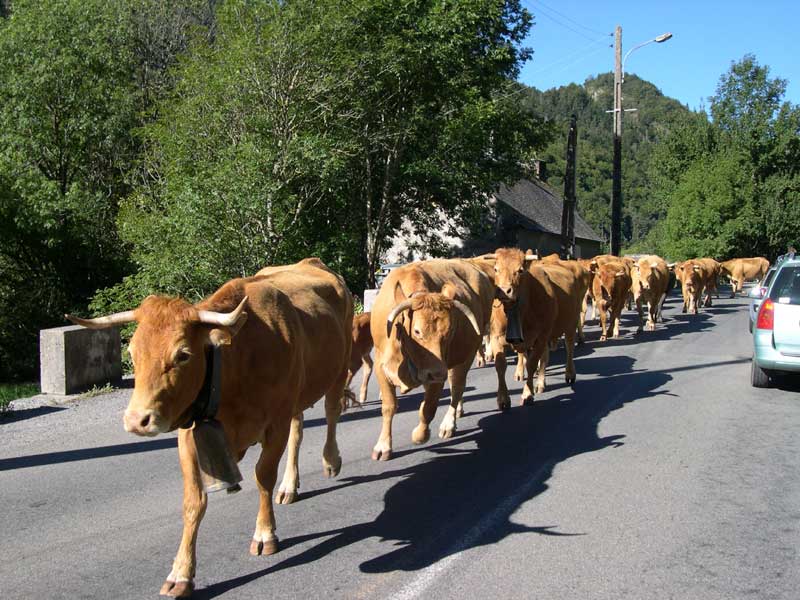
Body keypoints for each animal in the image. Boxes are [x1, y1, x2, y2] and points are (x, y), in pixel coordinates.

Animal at [370, 256, 494, 460]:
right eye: (417, 331)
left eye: (449, 332)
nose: (437, 372)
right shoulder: (381, 366)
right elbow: (389, 406)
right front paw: (383, 446)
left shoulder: (438, 371)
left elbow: (428, 408)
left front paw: (420, 435)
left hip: (465, 356)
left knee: (457, 387)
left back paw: (448, 424)